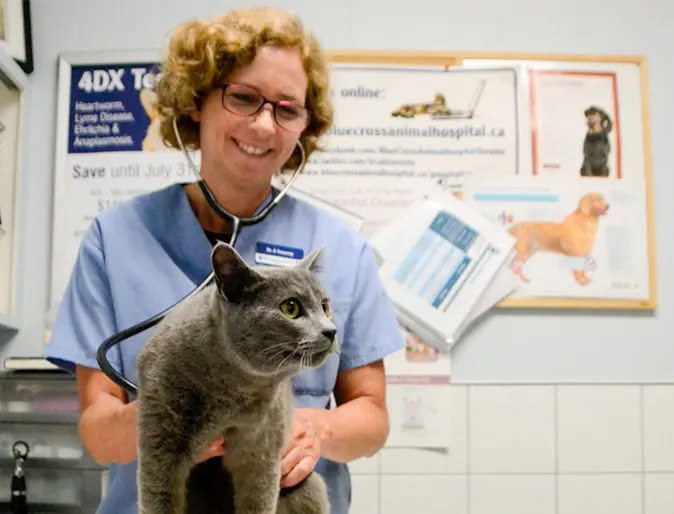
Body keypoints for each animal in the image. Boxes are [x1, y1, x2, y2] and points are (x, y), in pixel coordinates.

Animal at [135, 241, 336, 512]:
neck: (233, 393)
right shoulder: (160, 444)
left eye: (325, 306)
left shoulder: (261, 452)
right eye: (291, 308)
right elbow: (159, 498)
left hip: (306, 483)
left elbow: (258, 501)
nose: (331, 331)